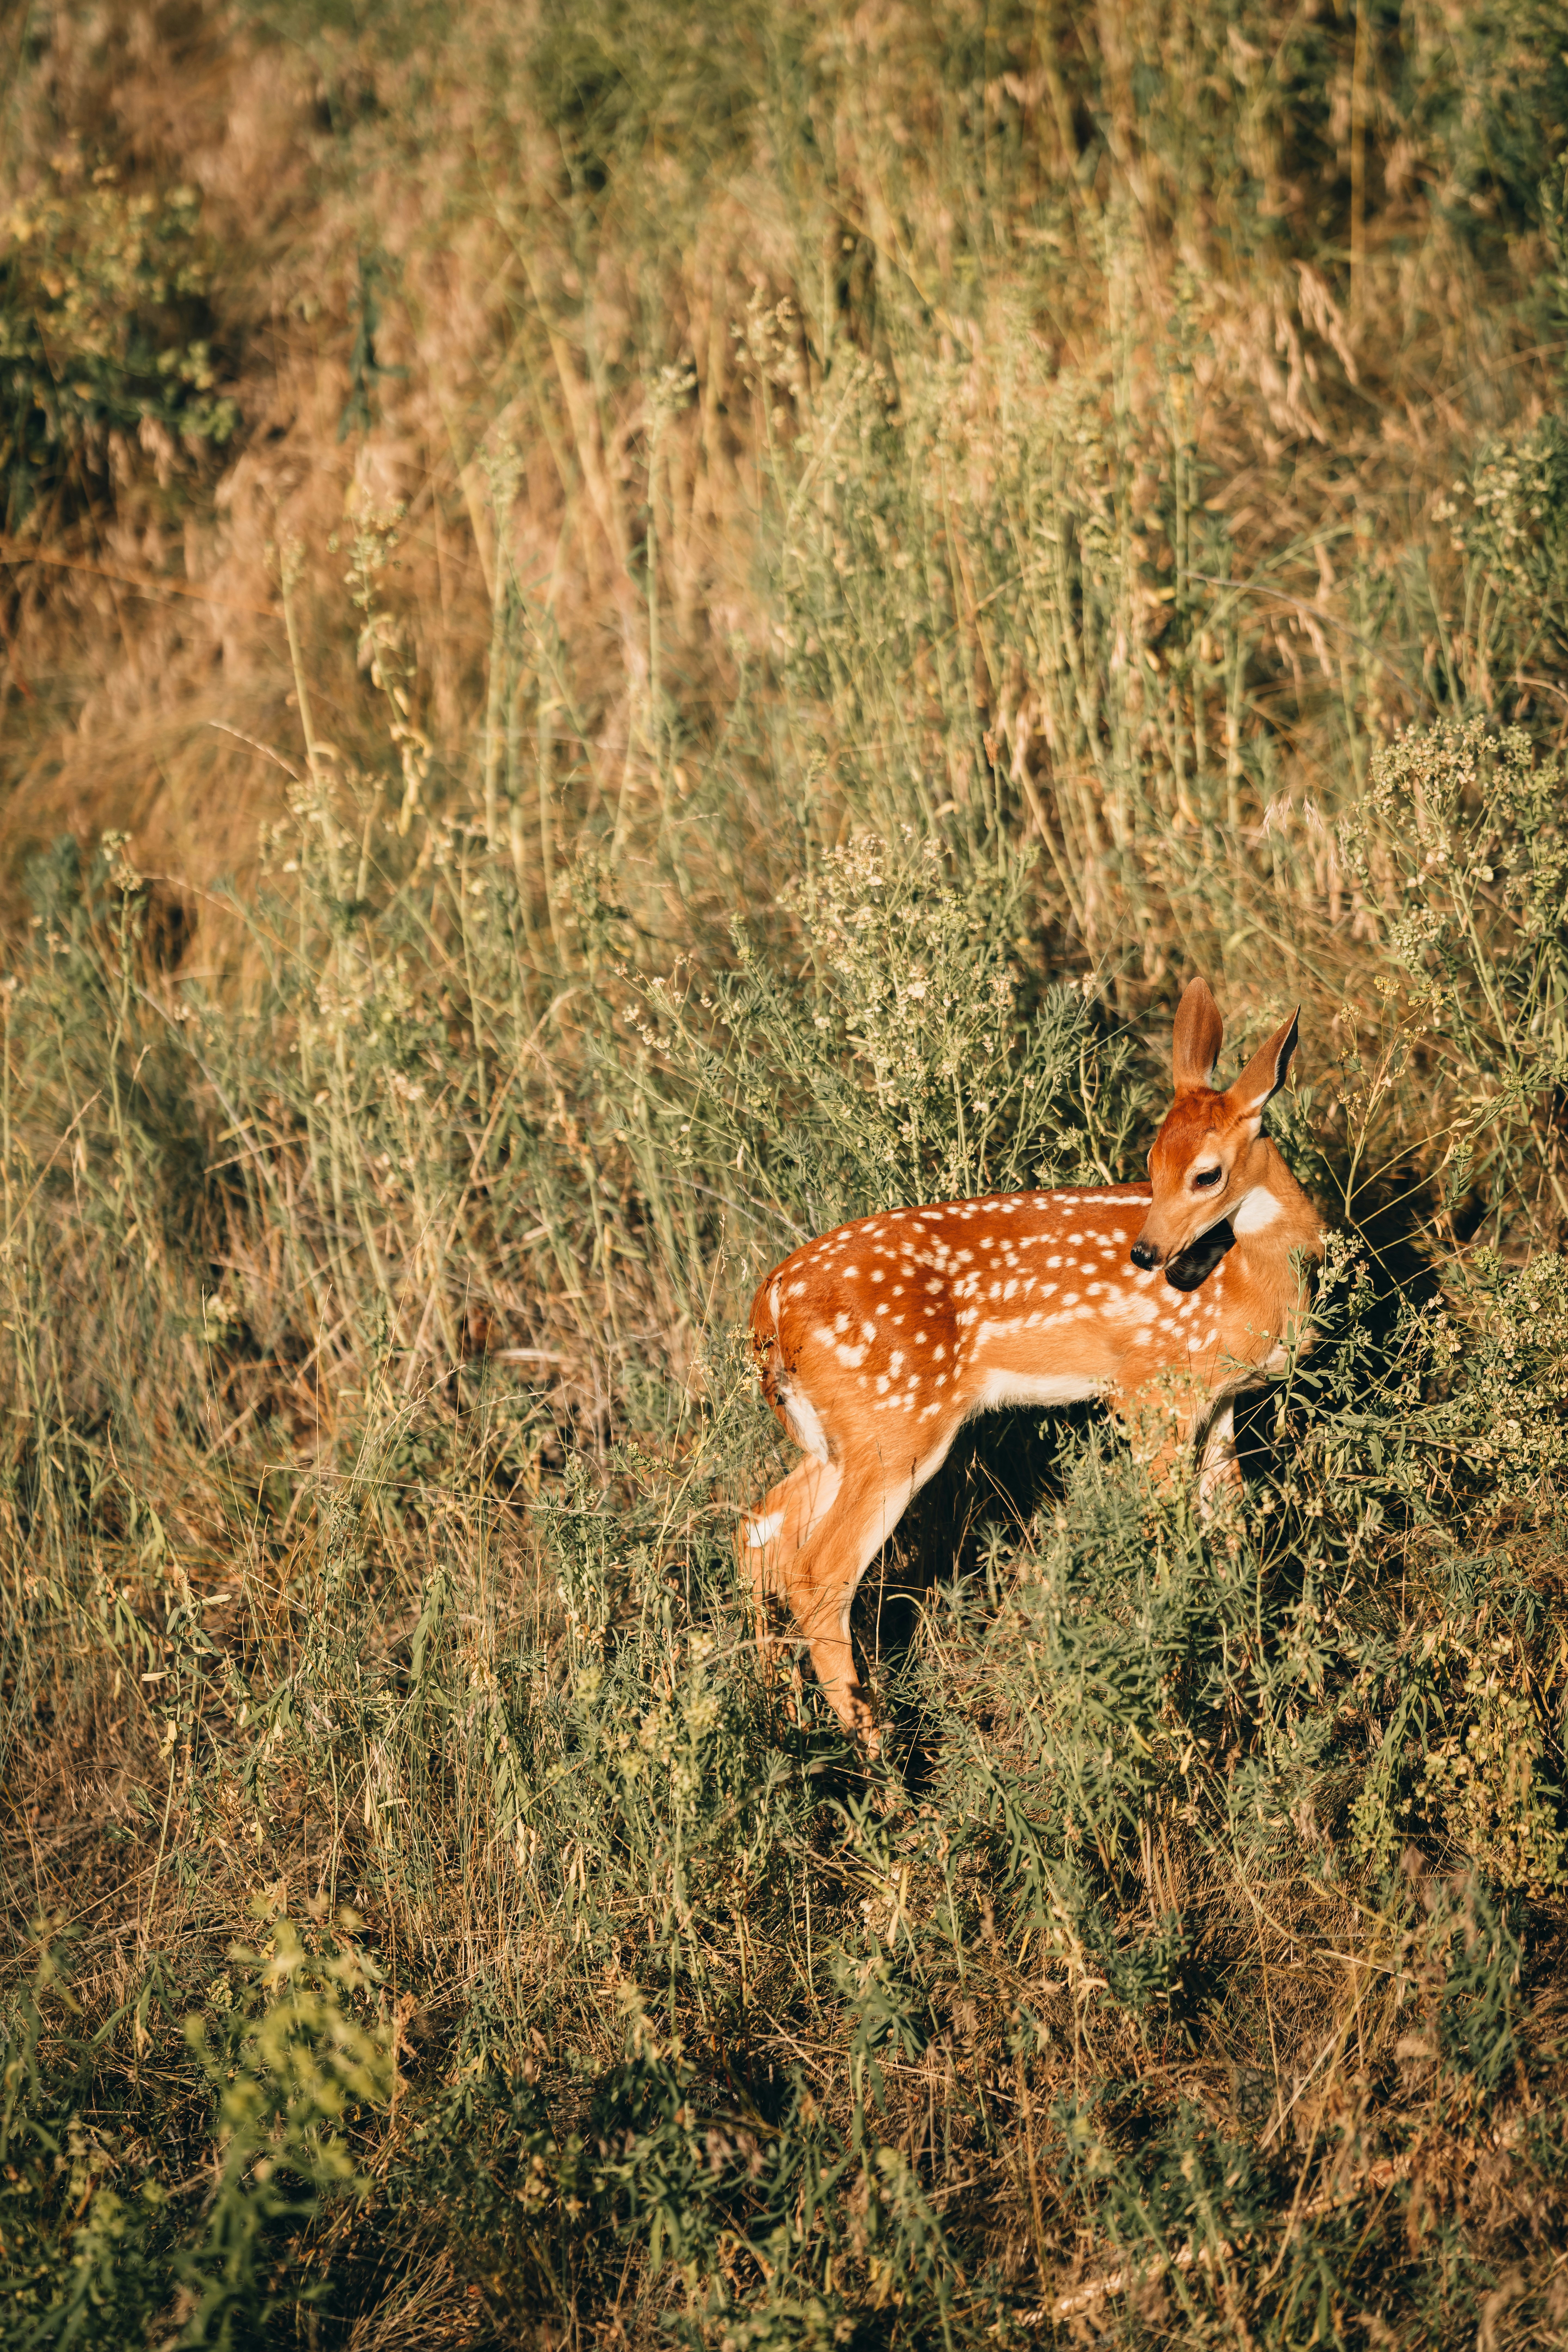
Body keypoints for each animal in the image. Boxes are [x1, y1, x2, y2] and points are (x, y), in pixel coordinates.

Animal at [739, 978, 1325, 1744]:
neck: (1251, 1278)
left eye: (1204, 1174)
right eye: (1150, 1166)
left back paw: (780, 1710)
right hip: (898, 1418)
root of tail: (769, 1306)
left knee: (762, 1527)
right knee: (819, 1569)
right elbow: (1165, 1539)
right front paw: (1177, 1691)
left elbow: (1230, 1532)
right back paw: (879, 1750)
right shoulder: (1149, 1392)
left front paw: (1249, 1669)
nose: (1147, 1254)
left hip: (838, 1434)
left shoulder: (1220, 1400)